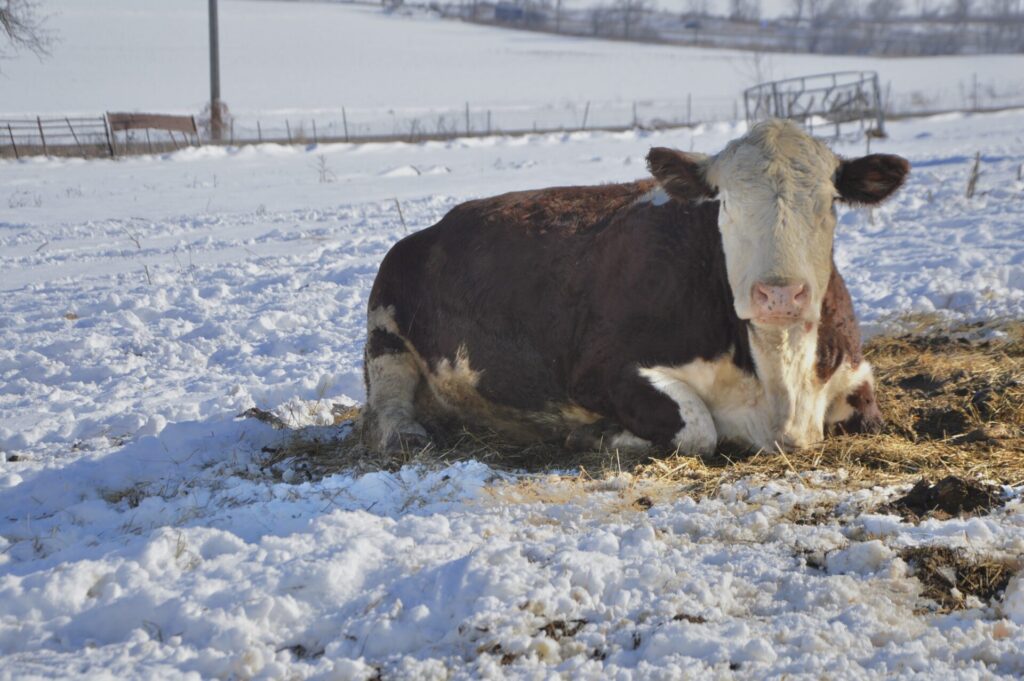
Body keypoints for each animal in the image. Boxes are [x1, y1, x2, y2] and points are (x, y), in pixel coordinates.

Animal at [358, 119, 905, 454]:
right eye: (726, 202)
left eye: (830, 201)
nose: (779, 295)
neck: (781, 388)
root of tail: (434, 228)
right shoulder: (600, 370)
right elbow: (698, 428)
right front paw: (598, 436)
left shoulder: (855, 372)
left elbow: (870, 413)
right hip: (384, 324)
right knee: (388, 405)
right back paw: (408, 434)